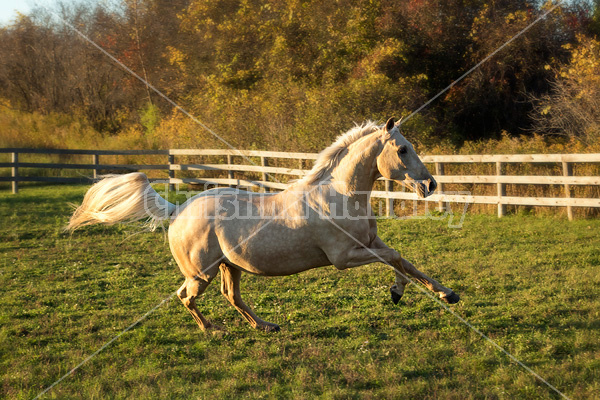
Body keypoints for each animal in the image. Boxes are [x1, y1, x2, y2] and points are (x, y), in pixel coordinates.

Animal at [68, 117, 460, 332]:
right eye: (403, 149)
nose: (430, 185)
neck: (340, 194)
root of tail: (178, 210)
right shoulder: (344, 257)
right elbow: (393, 259)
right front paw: (397, 293)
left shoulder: (368, 245)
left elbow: (402, 259)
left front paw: (447, 294)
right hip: (201, 273)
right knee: (186, 297)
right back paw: (214, 331)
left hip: (229, 267)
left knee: (230, 296)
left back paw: (265, 326)